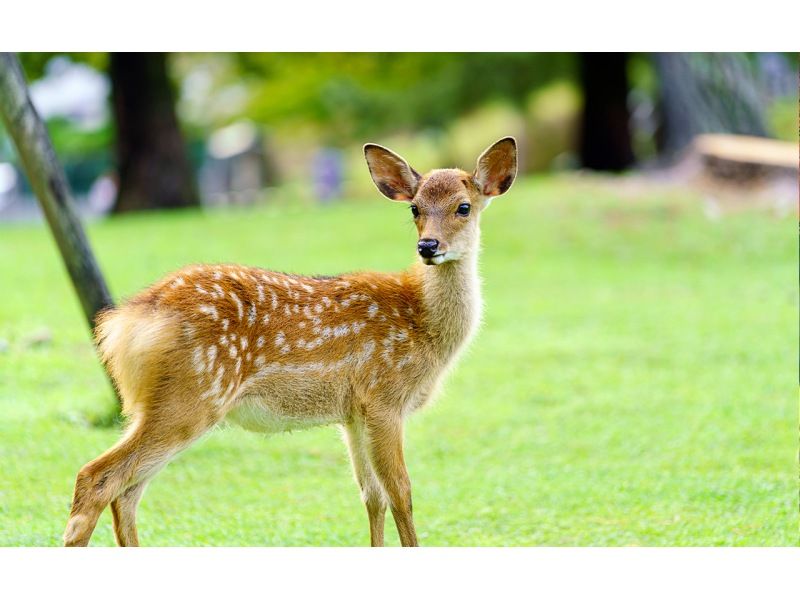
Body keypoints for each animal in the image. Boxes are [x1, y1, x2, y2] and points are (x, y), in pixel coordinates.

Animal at [65, 136, 520, 548]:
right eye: (415, 209)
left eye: (464, 206)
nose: (428, 246)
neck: (423, 323)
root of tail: (126, 322)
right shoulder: (384, 397)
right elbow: (401, 493)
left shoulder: (353, 414)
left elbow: (371, 496)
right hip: (192, 394)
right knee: (97, 478)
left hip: (158, 404)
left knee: (126, 494)